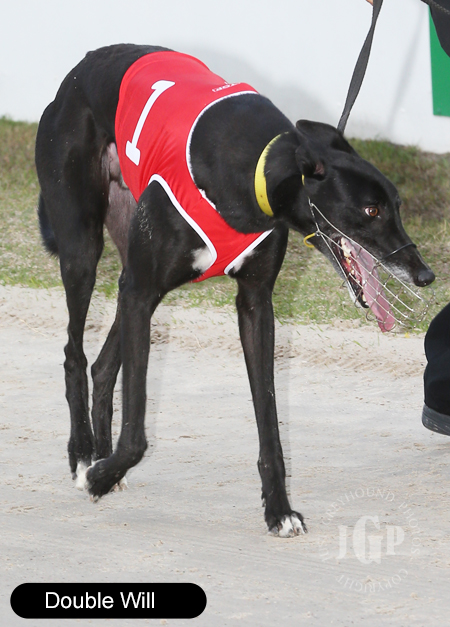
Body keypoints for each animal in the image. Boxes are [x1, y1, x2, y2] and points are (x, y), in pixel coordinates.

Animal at [35, 44, 434, 537]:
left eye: (397, 205)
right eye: (370, 209)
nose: (424, 274)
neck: (257, 167)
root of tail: (81, 67)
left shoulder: (254, 305)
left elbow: (270, 423)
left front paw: (279, 508)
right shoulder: (142, 290)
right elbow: (138, 431)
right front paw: (98, 475)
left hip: (135, 272)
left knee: (105, 364)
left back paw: (103, 460)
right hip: (83, 248)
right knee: (75, 353)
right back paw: (84, 457)